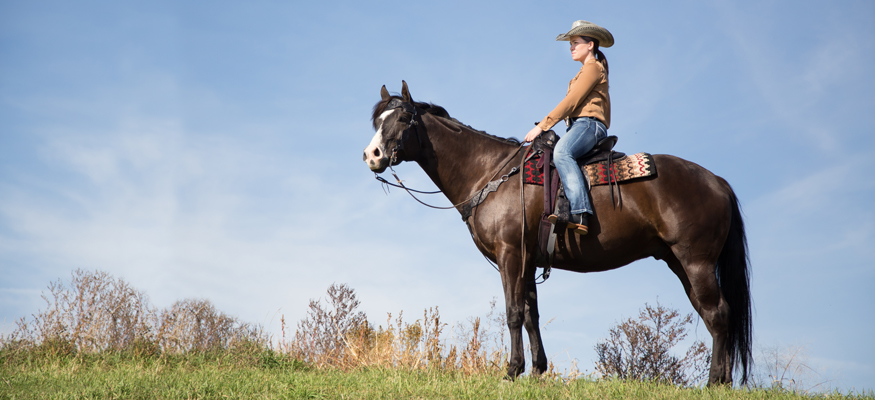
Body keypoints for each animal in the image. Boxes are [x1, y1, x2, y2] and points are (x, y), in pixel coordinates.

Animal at [362, 82, 752, 388]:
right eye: (378, 121)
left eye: (402, 119)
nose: (372, 155)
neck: (491, 173)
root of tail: (717, 182)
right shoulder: (527, 260)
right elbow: (531, 314)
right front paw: (536, 371)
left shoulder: (510, 255)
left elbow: (513, 312)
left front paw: (511, 371)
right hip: (680, 263)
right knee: (714, 315)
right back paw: (720, 380)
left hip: (696, 262)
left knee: (718, 314)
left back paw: (715, 384)